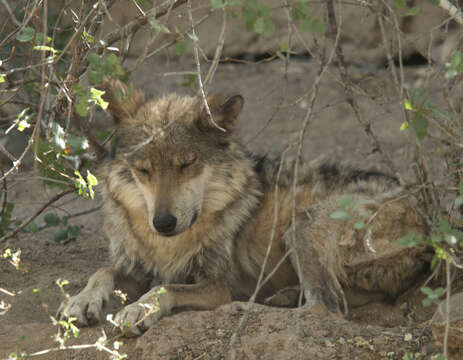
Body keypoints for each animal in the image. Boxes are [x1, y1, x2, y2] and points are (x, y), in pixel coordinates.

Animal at [59, 78, 432, 334]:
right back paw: (286, 296)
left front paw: (139, 309)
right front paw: (81, 300)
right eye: (144, 170)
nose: (163, 222)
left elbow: (165, 287)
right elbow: (103, 270)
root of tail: (427, 218)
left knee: (326, 307)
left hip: (301, 227)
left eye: (187, 164)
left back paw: (250, 308)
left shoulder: (216, 284)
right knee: (343, 299)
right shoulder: (139, 267)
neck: (166, 245)